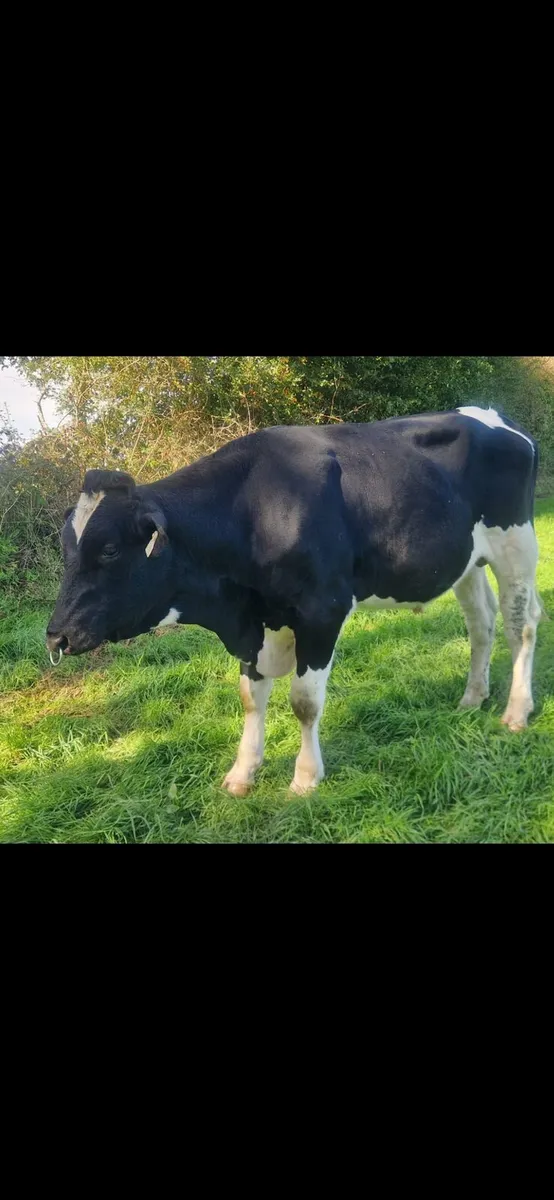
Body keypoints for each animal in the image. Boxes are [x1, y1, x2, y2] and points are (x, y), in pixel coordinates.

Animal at [46, 407, 542, 796]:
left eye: (110, 550)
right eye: (65, 549)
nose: (56, 637)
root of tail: (494, 417)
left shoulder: (322, 610)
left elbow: (304, 701)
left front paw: (305, 778)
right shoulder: (258, 623)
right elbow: (251, 697)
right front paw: (243, 772)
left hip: (515, 543)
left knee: (522, 624)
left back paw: (516, 711)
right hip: (466, 561)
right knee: (481, 624)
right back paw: (472, 697)